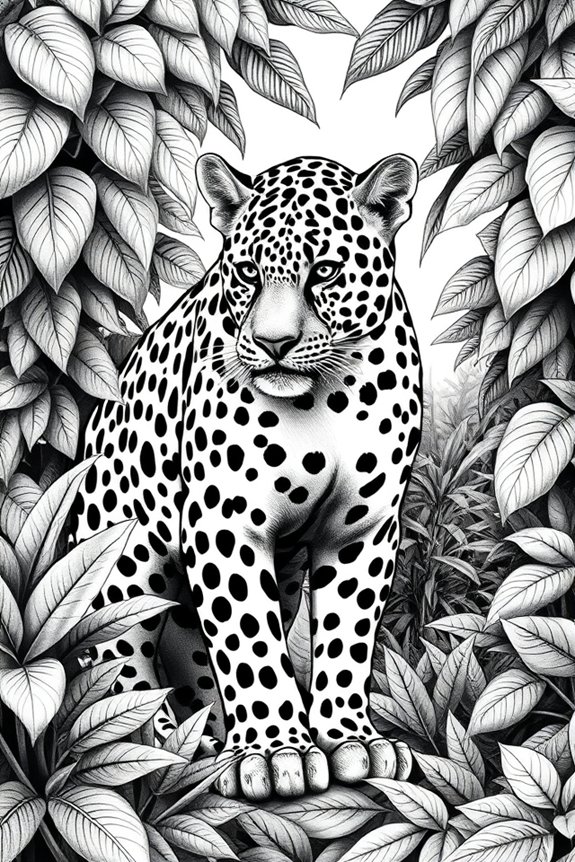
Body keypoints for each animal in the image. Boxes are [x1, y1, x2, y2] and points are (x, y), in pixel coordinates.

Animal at [72, 152, 423, 801]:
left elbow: (346, 635)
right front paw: (274, 751)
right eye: (246, 274)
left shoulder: (361, 527)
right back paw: (170, 750)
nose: (273, 343)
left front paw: (351, 741)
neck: (325, 399)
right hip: (117, 571)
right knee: (123, 669)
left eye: (325, 271)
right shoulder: (225, 523)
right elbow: (250, 644)